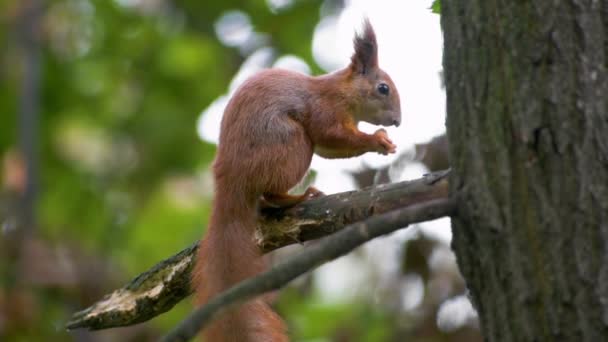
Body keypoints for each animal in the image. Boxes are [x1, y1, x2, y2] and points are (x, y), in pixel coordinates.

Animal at [195, 19, 402, 342]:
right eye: (383, 88)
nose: (397, 121)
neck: (342, 92)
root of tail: (229, 179)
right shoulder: (325, 109)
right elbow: (330, 134)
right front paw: (377, 140)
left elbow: (331, 148)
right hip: (292, 146)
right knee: (269, 192)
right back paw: (299, 197)